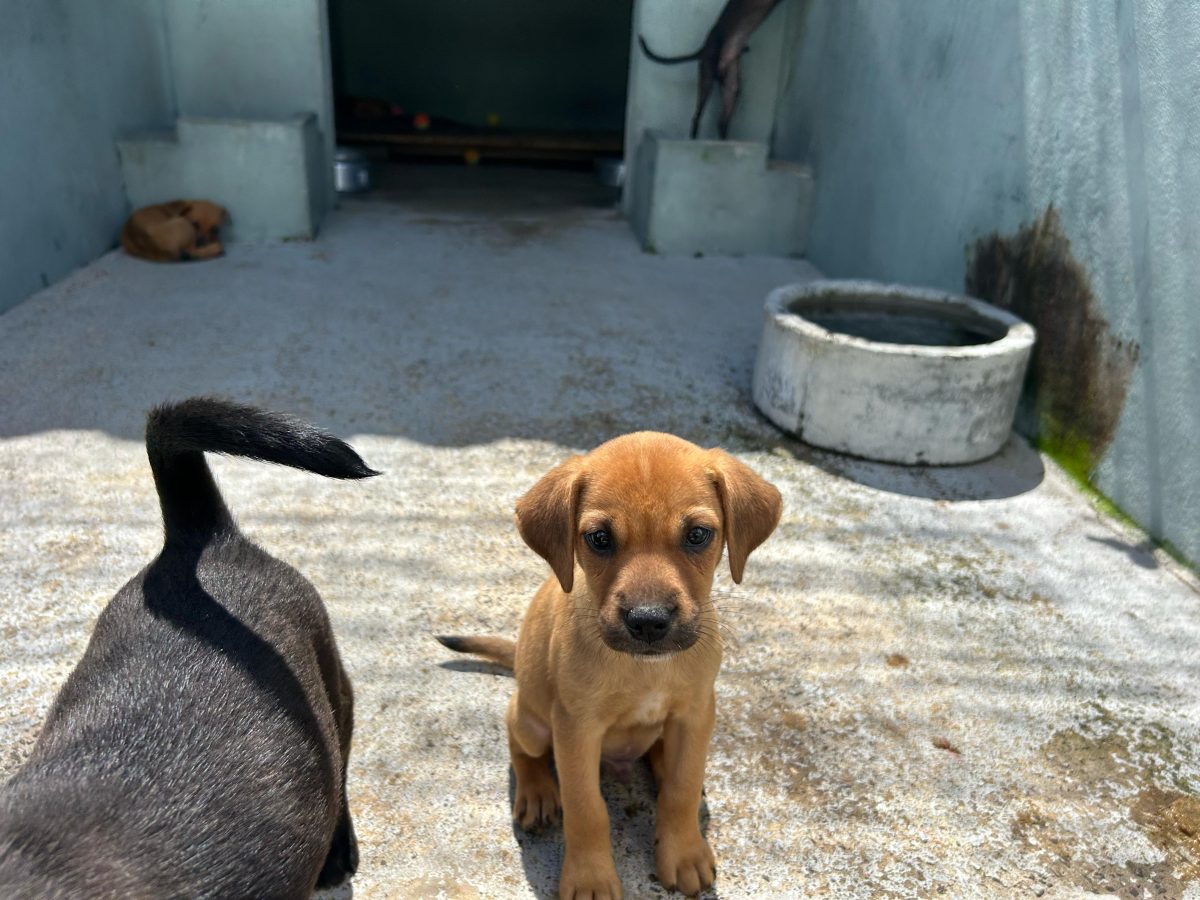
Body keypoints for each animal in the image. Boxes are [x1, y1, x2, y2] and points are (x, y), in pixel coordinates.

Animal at [436, 434, 782, 897]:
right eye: (599, 538)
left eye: (697, 535)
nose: (649, 621)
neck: (645, 669)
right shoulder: (575, 728)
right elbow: (586, 808)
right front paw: (590, 876)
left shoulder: (696, 713)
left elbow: (682, 786)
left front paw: (684, 851)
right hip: (532, 721)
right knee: (518, 741)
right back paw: (536, 791)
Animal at [643, 0, 782, 139]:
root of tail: (703, 48)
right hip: (708, 80)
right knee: (697, 117)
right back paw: (695, 138)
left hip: (731, 86)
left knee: (721, 122)